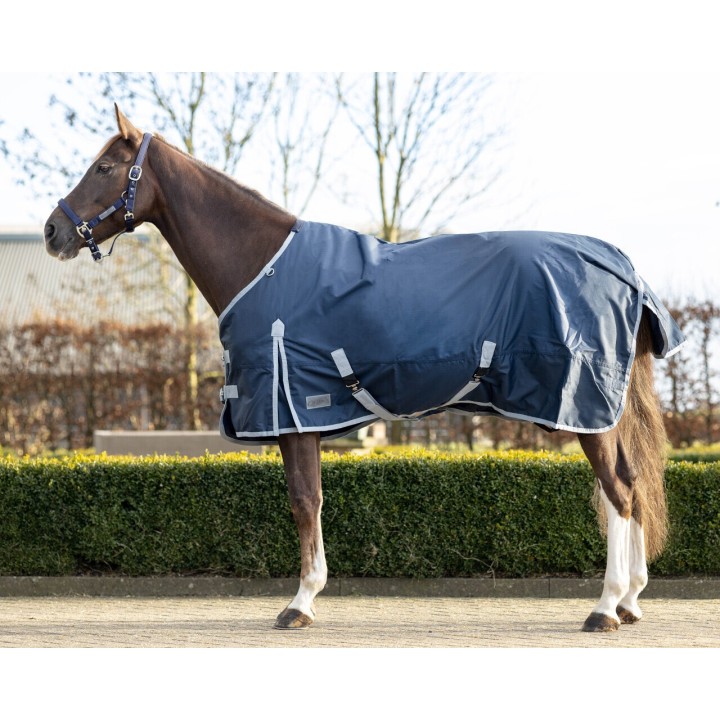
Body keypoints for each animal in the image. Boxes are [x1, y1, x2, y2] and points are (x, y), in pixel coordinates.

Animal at [44, 104, 684, 632]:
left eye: (104, 167)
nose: (53, 231)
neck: (261, 263)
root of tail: (619, 263)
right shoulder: (305, 417)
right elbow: (314, 501)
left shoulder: (293, 414)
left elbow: (305, 502)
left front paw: (300, 602)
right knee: (626, 487)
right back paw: (630, 601)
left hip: (585, 409)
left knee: (619, 491)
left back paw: (606, 607)